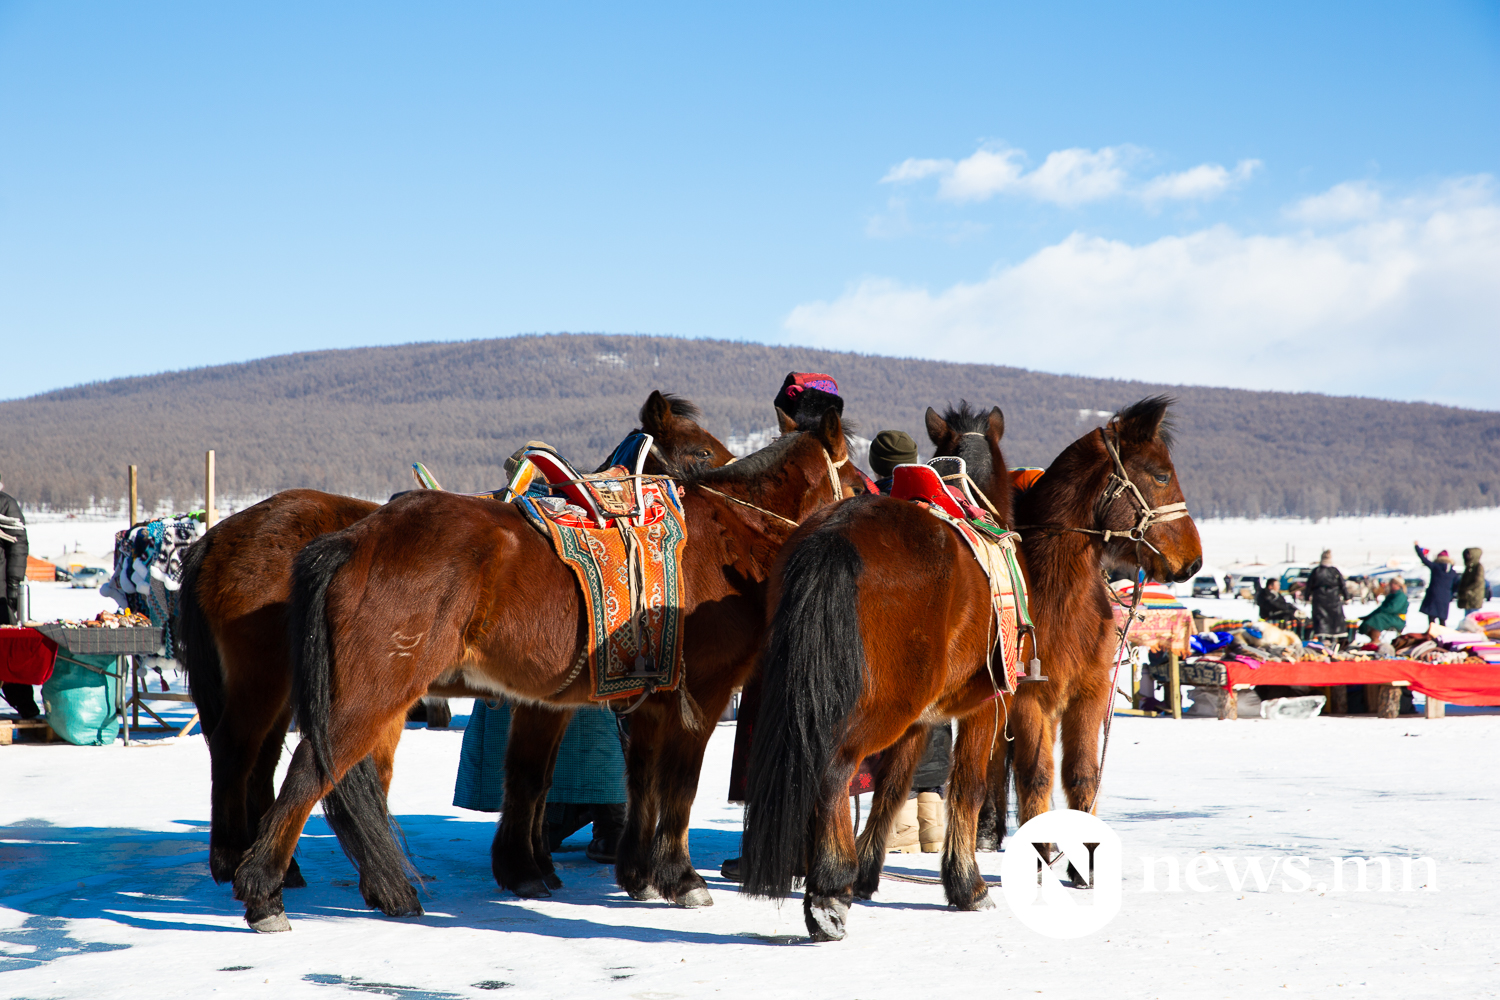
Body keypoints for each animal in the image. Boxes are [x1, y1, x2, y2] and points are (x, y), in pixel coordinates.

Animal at [180, 389, 732, 893]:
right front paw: (531, 865)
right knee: (236, 750)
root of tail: (217, 537)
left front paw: (534, 863)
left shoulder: (545, 700)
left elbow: (534, 776)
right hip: (266, 682)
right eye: (701, 451)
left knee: (261, 761)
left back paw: (280, 866)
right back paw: (233, 860)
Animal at [238, 404, 864, 929]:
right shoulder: (701, 697)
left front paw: (634, 874)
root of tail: (353, 537)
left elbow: (632, 783)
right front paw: (680, 877)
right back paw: (264, 893)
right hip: (371, 695)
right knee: (308, 774)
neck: (725, 537)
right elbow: (679, 788)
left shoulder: (640, 702)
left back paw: (382, 891)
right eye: (858, 485)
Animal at [744, 395, 1200, 941]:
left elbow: (898, 785)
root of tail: (834, 533)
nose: (1193, 560)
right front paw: (971, 883)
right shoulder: (1001, 701)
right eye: (1160, 474)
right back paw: (828, 893)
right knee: (834, 768)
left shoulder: (949, 715)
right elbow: (987, 783)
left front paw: (871, 871)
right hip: (884, 704)